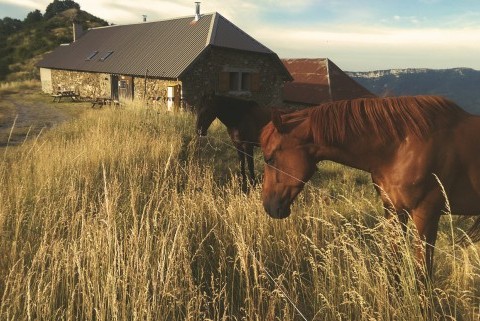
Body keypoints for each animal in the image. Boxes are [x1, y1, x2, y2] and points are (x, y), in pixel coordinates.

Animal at [260, 95, 480, 276]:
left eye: (270, 159)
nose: (269, 206)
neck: (401, 147)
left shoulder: (426, 216)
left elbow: (422, 275)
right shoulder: (394, 211)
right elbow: (394, 266)